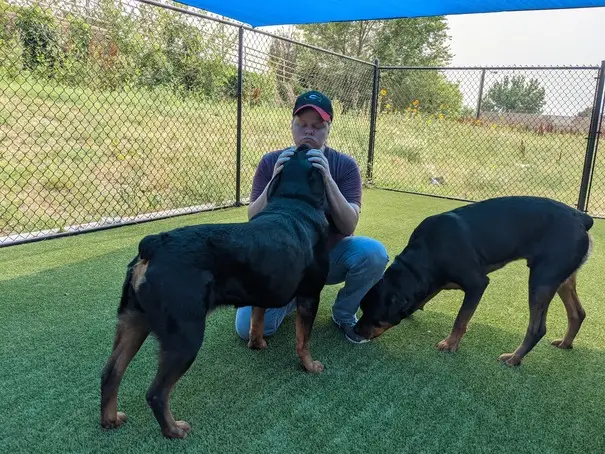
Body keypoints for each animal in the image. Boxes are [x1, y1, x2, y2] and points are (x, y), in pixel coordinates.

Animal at [99, 144, 328, 438]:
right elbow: (304, 340)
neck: (294, 199)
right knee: (156, 393)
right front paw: (310, 366)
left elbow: (257, 318)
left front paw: (257, 343)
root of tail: (153, 244)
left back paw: (110, 419)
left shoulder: (262, 285)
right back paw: (174, 430)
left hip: (134, 320)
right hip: (185, 335)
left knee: (111, 373)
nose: (303, 144)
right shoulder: (310, 295)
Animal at [352, 197, 592, 368]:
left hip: (542, 279)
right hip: (561, 278)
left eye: (376, 318)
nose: (355, 330)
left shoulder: (477, 284)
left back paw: (514, 358)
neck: (428, 252)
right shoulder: (432, 281)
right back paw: (565, 343)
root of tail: (581, 217)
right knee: (577, 313)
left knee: (537, 328)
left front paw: (450, 344)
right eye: (362, 308)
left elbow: (461, 318)